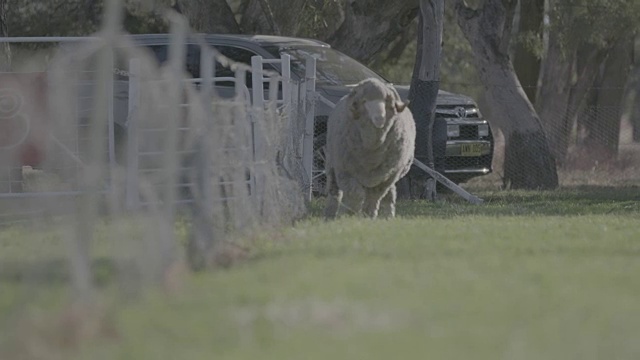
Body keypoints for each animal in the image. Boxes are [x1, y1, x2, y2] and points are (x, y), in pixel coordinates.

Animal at [322, 78, 418, 219]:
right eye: (364, 101)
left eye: (385, 101)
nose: (380, 118)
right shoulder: (345, 172)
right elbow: (355, 195)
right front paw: (349, 214)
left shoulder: (387, 177)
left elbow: (373, 197)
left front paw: (368, 216)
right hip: (332, 164)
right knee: (334, 191)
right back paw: (330, 215)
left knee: (390, 194)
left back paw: (388, 216)